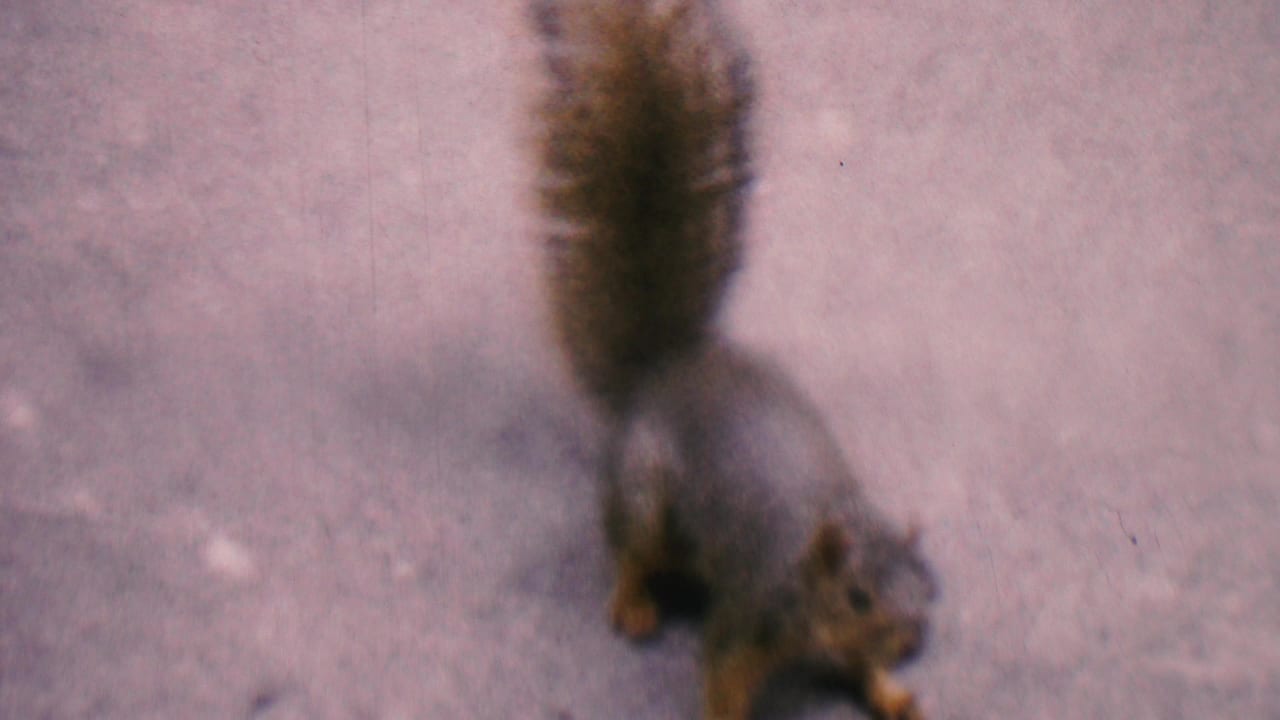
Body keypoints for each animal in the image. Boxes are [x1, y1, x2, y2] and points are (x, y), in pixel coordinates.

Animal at [529, 1, 937, 718]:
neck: (806, 574)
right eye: (857, 596)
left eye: (930, 585)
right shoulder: (751, 611)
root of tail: (665, 370)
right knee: (629, 550)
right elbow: (723, 673)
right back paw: (633, 603)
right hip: (644, 492)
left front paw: (894, 694)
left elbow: (863, 668)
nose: (915, 645)